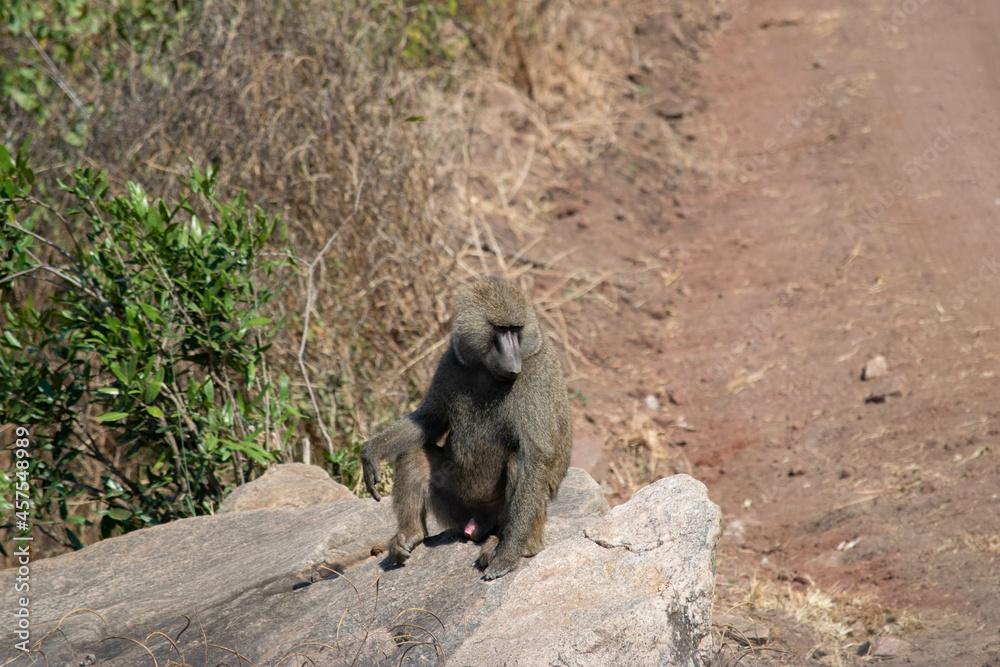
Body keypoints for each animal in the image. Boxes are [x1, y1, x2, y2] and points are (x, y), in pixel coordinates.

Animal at [360, 276, 571, 580]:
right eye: (500, 329)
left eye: (516, 329)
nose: (514, 363)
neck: (487, 369)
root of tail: (477, 526)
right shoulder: (450, 361)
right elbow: (428, 420)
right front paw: (371, 452)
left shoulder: (536, 376)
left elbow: (537, 455)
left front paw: (508, 555)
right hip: (457, 509)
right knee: (413, 453)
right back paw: (410, 534)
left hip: (503, 516)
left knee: (519, 462)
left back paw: (520, 545)